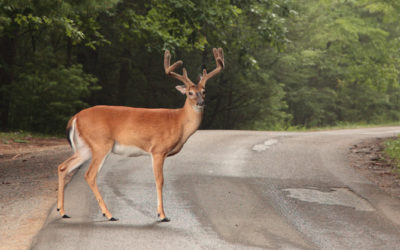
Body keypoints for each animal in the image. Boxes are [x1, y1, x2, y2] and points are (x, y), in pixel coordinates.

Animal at [56, 47, 225, 222]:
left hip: (85, 147)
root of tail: (75, 118)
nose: (201, 103)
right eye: (190, 93)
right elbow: (159, 180)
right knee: (89, 175)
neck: (178, 121)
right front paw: (162, 215)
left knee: (63, 166)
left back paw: (63, 211)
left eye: (204, 91)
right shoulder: (158, 150)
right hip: (101, 143)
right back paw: (108, 214)